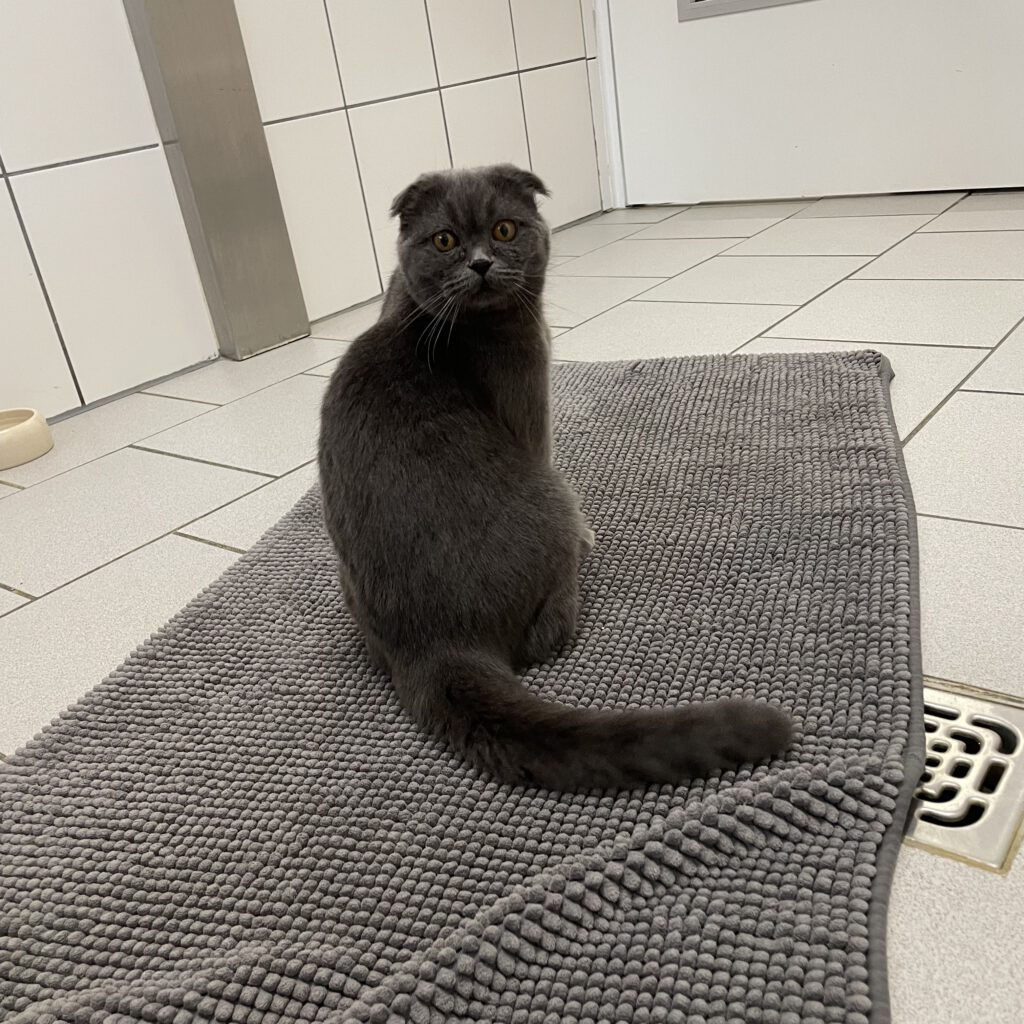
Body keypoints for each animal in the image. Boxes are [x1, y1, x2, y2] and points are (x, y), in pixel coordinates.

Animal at [318, 164, 792, 790]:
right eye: (445, 240)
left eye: (503, 228)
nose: (480, 263)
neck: (423, 315)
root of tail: (434, 645)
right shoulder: (529, 408)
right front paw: (593, 535)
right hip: (551, 499)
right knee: (547, 637)